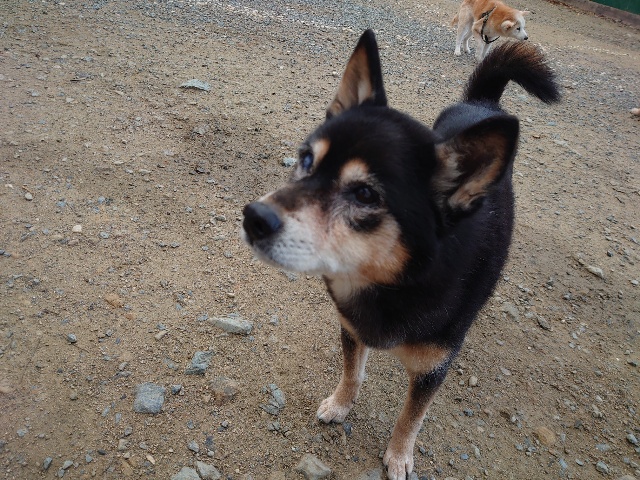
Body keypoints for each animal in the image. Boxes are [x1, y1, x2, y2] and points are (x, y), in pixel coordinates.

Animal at [242, 30, 559, 479]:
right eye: (305, 160)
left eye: (364, 194)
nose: (253, 217)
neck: (396, 280)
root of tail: (482, 104)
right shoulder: (352, 328)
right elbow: (353, 374)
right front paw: (340, 405)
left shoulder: (433, 368)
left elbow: (412, 415)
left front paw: (398, 456)